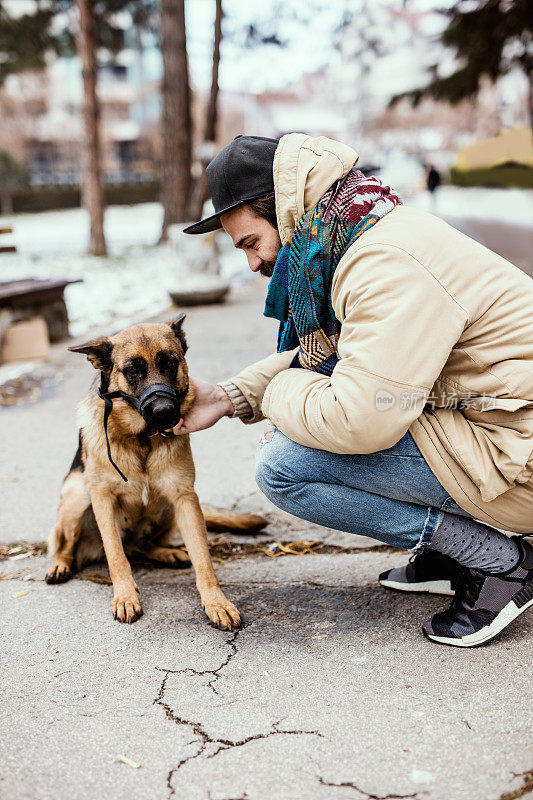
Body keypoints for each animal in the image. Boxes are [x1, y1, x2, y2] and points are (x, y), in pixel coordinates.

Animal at [46, 316, 266, 628]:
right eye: (132, 370)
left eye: (169, 363)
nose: (163, 411)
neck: (142, 439)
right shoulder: (102, 499)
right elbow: (116, 556)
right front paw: (125, 597)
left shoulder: (185, 498)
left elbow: (203, 559)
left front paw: (216, 602)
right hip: (77, 494)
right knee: (69, 545)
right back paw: (60, 566)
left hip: (167, 508)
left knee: (141, 546)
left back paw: (167, 552)